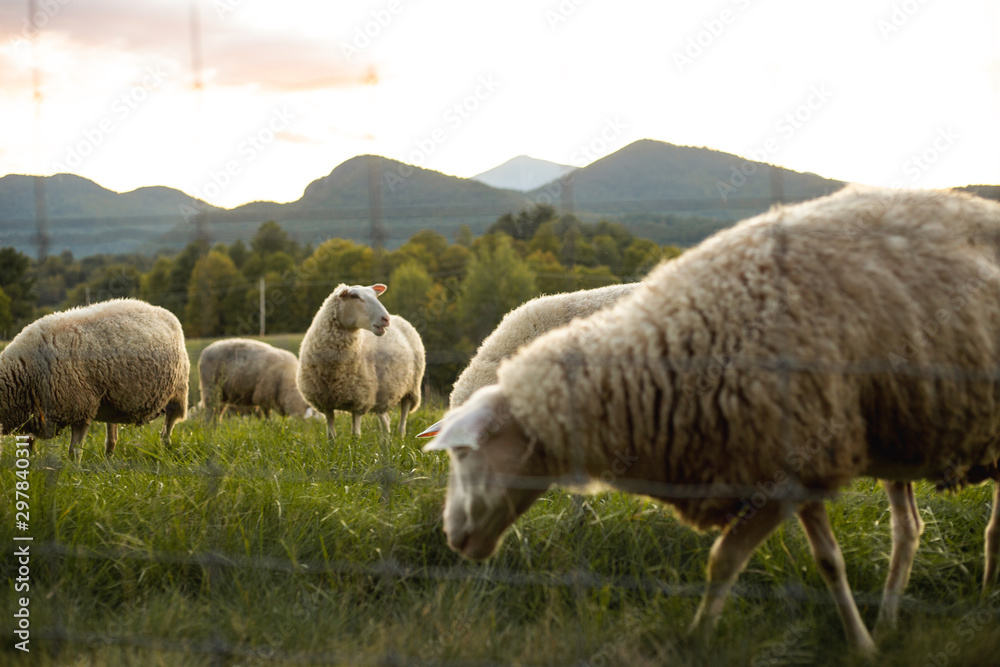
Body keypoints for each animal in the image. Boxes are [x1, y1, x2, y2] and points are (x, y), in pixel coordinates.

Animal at [0, 298, 189, 461]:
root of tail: (160, 310)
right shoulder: (36, 410)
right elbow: (29, 444)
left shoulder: (81, 408)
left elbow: (74, 451)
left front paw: (73, 472)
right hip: (114, 400)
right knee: (112, 437)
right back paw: (108, 460)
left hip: (177, 390)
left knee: (168, 427)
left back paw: (164, 451)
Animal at [297, 283, 425, 440]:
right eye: (354, 296)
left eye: (375, 295)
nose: (386, 319)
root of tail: (399, 317)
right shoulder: (326, 402)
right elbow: (331, 436)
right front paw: (332, 445)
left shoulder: (359, 399)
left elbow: (355, 435)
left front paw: (355, 445)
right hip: (382, 393)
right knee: (385, 420)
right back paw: (386, 440)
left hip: (411, 389)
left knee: (403, 417)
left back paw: (400, 437)